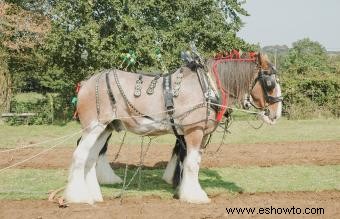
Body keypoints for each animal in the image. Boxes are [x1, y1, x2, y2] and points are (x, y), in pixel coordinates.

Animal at [65, 52, 282, 204]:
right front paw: (195, 196)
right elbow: (191, 164)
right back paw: (79, 197)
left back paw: (94, 194)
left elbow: (191, 162)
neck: (207, 87)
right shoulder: (193, 132)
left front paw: (184, 190)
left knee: (91, 158)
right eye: (270, 83)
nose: (277, 113)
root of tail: (86, 83)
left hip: (105, 128)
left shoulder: (199, 134)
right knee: (80, 155)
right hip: (94, 127)